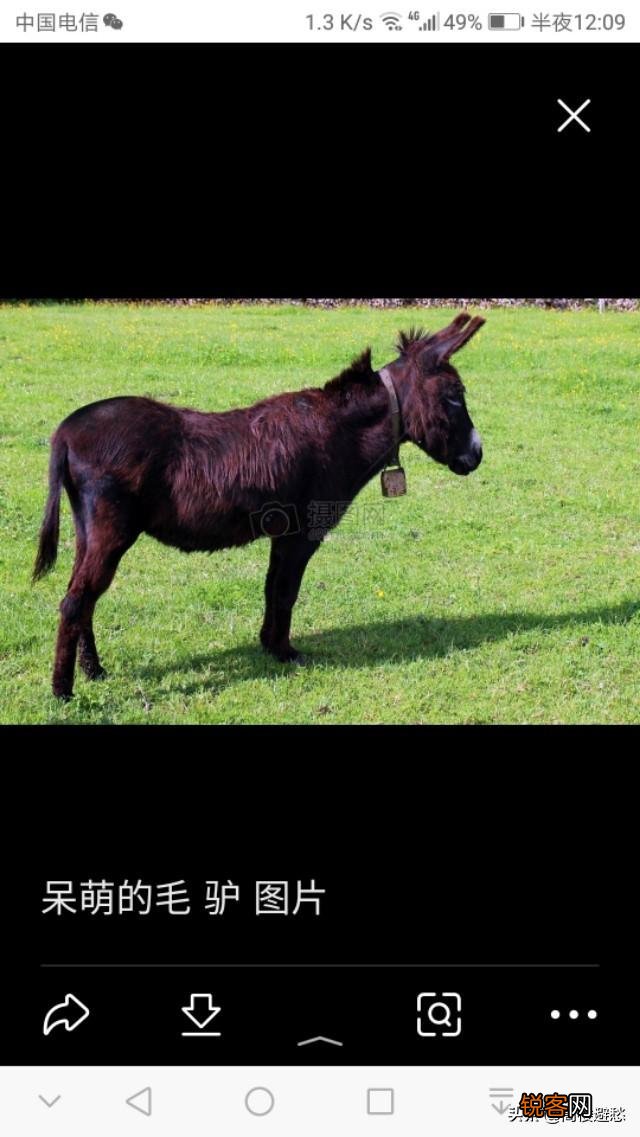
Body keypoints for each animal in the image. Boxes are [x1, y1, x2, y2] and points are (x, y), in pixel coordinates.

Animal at [33, 311, 485, 698]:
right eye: (454, 397)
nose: (477, 455)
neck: (341, 435)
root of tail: (66, 430)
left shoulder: (281, 532)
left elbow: (272, 587)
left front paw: (269, 646)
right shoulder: (302, 532)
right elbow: (286, 591)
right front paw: (285, 652)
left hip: (88, 531)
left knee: (82, 598)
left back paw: (94, 671)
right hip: (112, 532)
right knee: (75, 602)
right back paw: (63, 691)